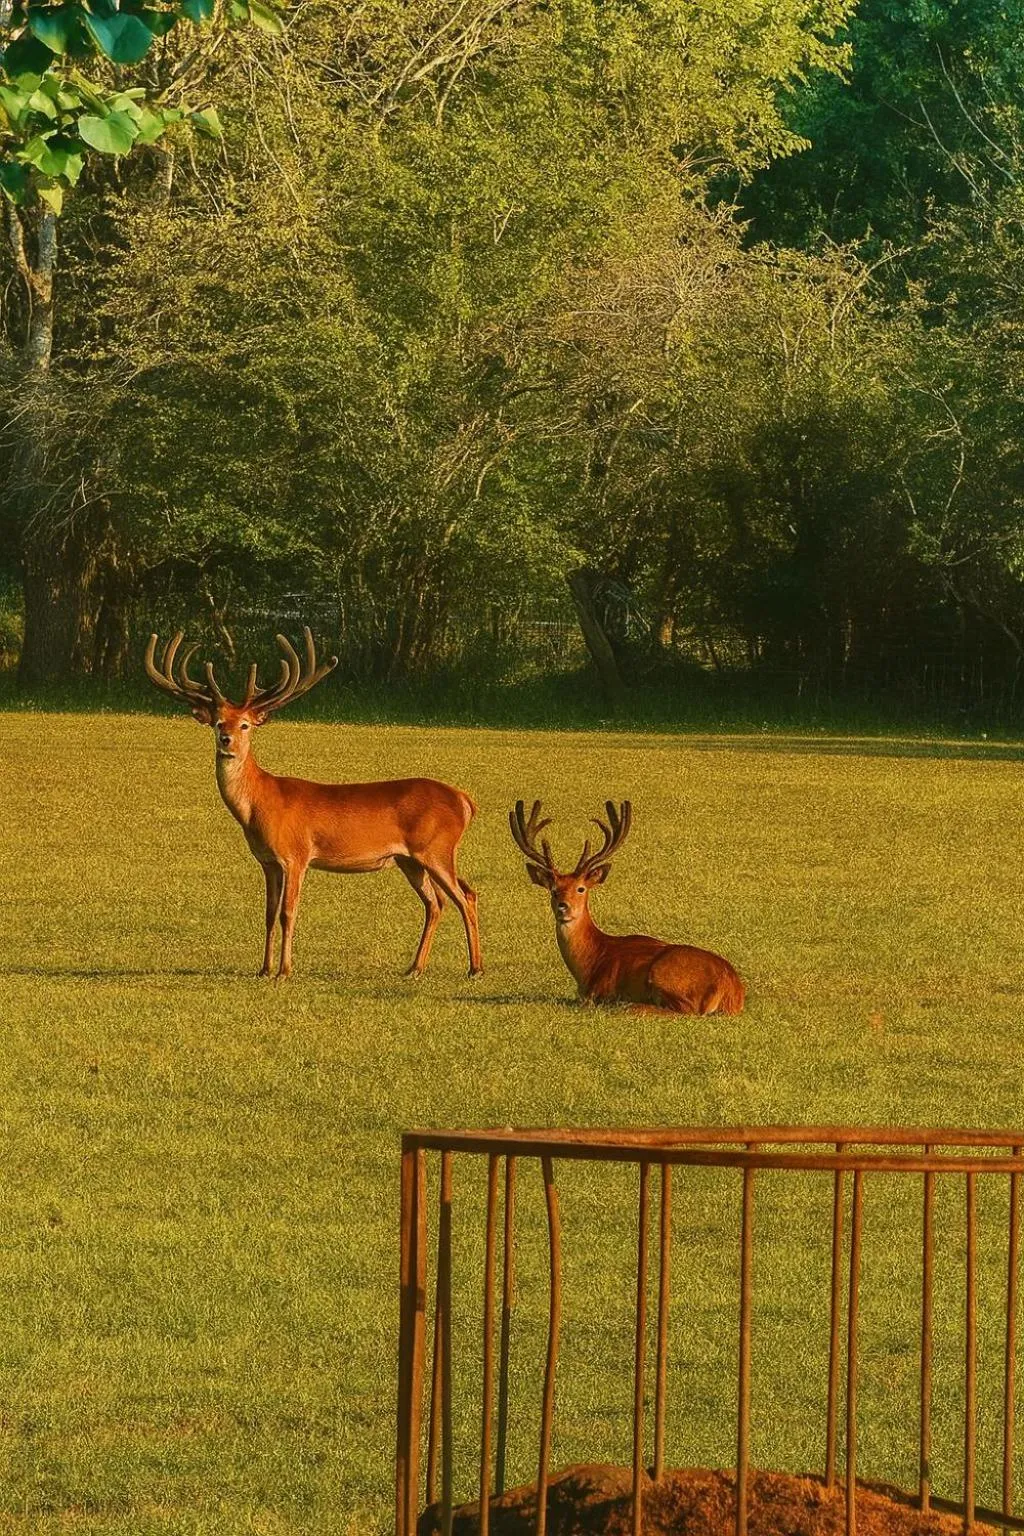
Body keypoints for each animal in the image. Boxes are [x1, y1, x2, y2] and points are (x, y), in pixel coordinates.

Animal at [145, 628, 482, 981]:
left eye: (245, 724)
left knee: (465, 896)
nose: (227, 742)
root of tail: (464, 801)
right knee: (438, 902)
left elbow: (288, 912)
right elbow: (268, 913)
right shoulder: (267, 861)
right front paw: (263, 969)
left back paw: (475, 968)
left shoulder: (296, 854)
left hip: (436, 849)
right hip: (411, 860)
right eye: (218, 722)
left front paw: (284, 971)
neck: (260, 804)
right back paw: (415, 968)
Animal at [509, 799, 744, 1015]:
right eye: (554, 890)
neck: (590, 961)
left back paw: (629, 1006)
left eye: (581, 888)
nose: (563, 907)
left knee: (686, 1010)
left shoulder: (596, 992)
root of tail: (730, 987)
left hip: (664, 972)